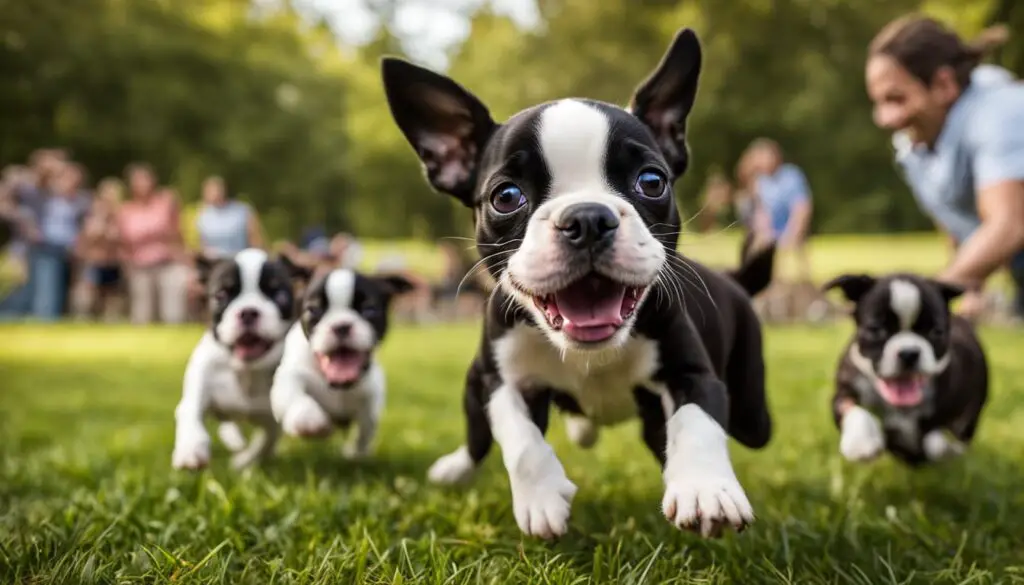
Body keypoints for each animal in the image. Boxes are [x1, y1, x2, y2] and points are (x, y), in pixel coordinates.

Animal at [171, 246, 311, 471]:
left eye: (278, 295)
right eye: (221, 294)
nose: (248, 312)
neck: (247, 371)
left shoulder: (272, 421)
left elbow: (265, 441)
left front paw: (243, 462)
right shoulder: (202, 377)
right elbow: (190, 410)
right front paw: (190, 449)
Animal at [272, 268, 415, 461]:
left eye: (369, 309)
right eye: (313, 310)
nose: (341, 326)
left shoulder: (372, 393)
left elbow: (366, 426)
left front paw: (357, 454)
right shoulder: (290, 373)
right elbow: (292, 392)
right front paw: (308, 419)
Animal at [382, 27, 774, 540]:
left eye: (652, 181)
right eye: (506, 196)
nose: (588, 218)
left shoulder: (691, 372)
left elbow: (697, 420)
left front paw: (705, 489)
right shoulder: (499, 378)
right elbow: (518, 437)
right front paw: (542, 498)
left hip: (750, 413)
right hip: (473, 384)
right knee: (477, 438)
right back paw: (459, 466)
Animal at [819, 272, 987, 469]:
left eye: (936, 332)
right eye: (875, 329)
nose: (909, 353)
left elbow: (937, 442)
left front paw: (945, 449)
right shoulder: (845, 390)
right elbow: (852, 408)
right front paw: (861, 443)